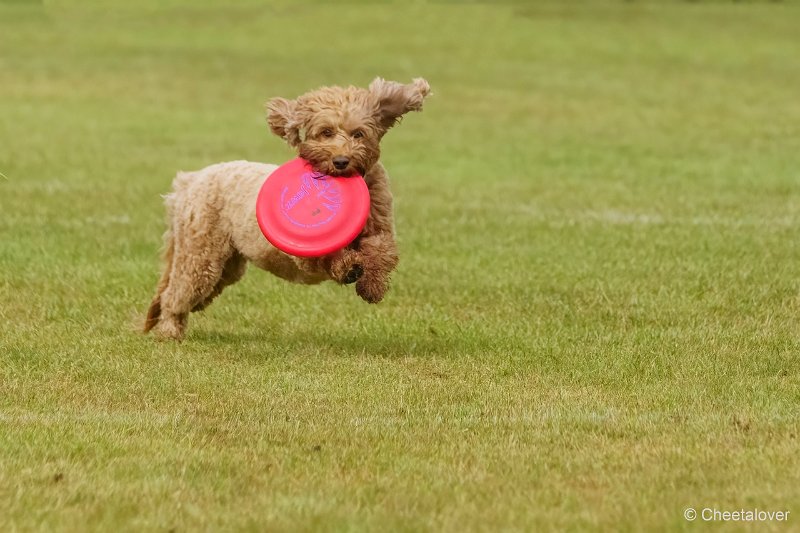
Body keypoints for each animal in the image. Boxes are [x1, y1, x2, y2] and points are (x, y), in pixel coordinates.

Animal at [144, 77, 432, 338]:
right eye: (326, 132)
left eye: (358, 134)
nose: (341, 161)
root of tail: (188, 182)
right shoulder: (304, 252)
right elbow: (327, 253)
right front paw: (348, 266)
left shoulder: (380, 225)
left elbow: (382, 250)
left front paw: (372, 285)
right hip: (201, 254)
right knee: (176, 294)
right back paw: (170, 331)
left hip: (227, 264)